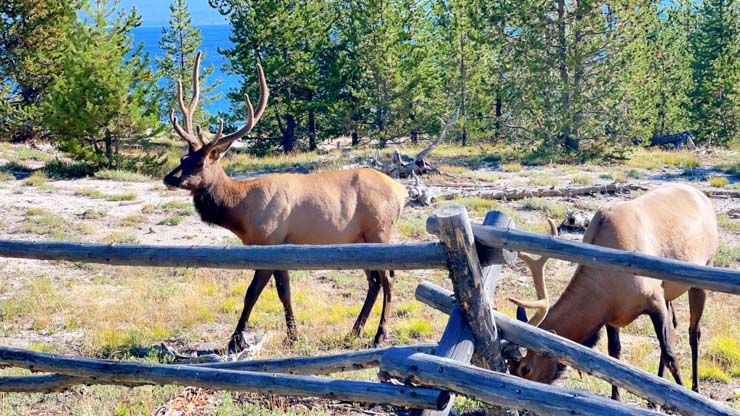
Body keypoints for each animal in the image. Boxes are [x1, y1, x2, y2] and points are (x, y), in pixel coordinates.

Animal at [163, 51, 408, 352]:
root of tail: (401, 191)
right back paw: (354, 331)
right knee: (374, 281)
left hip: (379, 230)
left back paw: (379, 335)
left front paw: (235, 341)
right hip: (359, 240)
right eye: (182, 158)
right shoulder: (279, 246)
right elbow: (284, 291)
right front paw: (292, 336)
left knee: (389, 278)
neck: (242, 212)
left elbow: (252, 293)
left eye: (198, 163)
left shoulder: (270, 241)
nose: (169, 178)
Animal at [508, 184, 716, 400]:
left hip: (703, 273)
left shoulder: (654, 300)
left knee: (694, 333)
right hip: (669, 292)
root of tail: (702, 196)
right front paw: (617, 397)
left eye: (525, 368)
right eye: (509, 368)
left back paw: (696, 388)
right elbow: (614, 353)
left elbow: (670, 355)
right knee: (674, 325)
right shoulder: (613, 316)